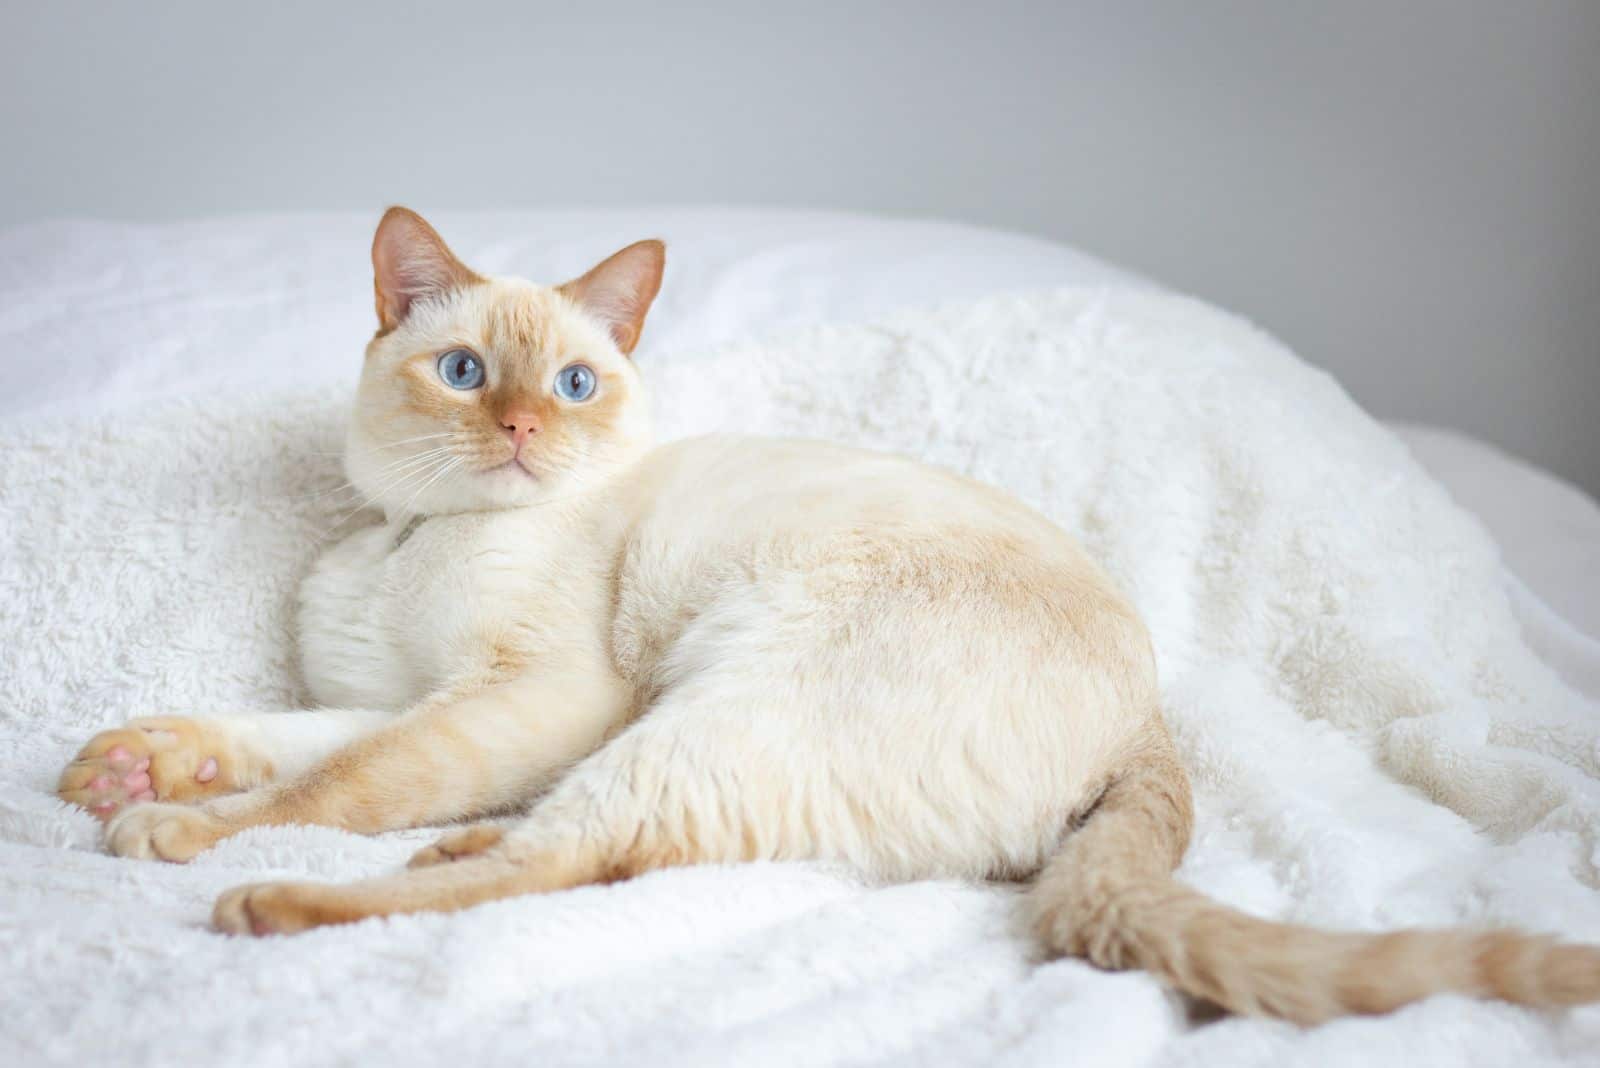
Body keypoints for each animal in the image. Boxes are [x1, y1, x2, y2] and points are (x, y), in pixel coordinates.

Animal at [56, 211, 1600, 1023]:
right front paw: (132, 766)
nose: (518, 432)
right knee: (559, 849)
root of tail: (1149, 719)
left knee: (565, 856)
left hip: (698, 710)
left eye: (573, 386)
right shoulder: (401, 695)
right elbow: (291, 739)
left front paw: (174, 828)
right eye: (464, 372)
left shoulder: (520, 696)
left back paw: (271, 902)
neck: (405, 540)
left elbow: (336, 784)